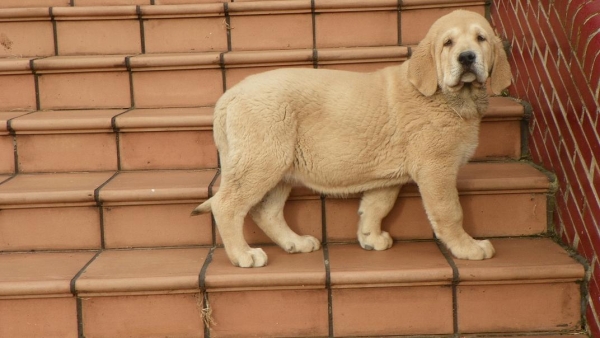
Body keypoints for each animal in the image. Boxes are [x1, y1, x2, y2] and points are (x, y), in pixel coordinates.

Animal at [192, 9, 510, 266]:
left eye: (481, 39)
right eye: (448, 43)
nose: (467, 57)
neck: (448, 97)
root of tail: (229, 96)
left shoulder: (389, 175)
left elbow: (378, 205)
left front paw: (370, 236)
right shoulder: (437, 168)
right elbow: (450, 211)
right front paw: (468, 247)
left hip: (278, 166)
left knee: (266, 212)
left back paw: (295, 243)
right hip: (262, 160)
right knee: (226, 204)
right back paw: (243, 255)